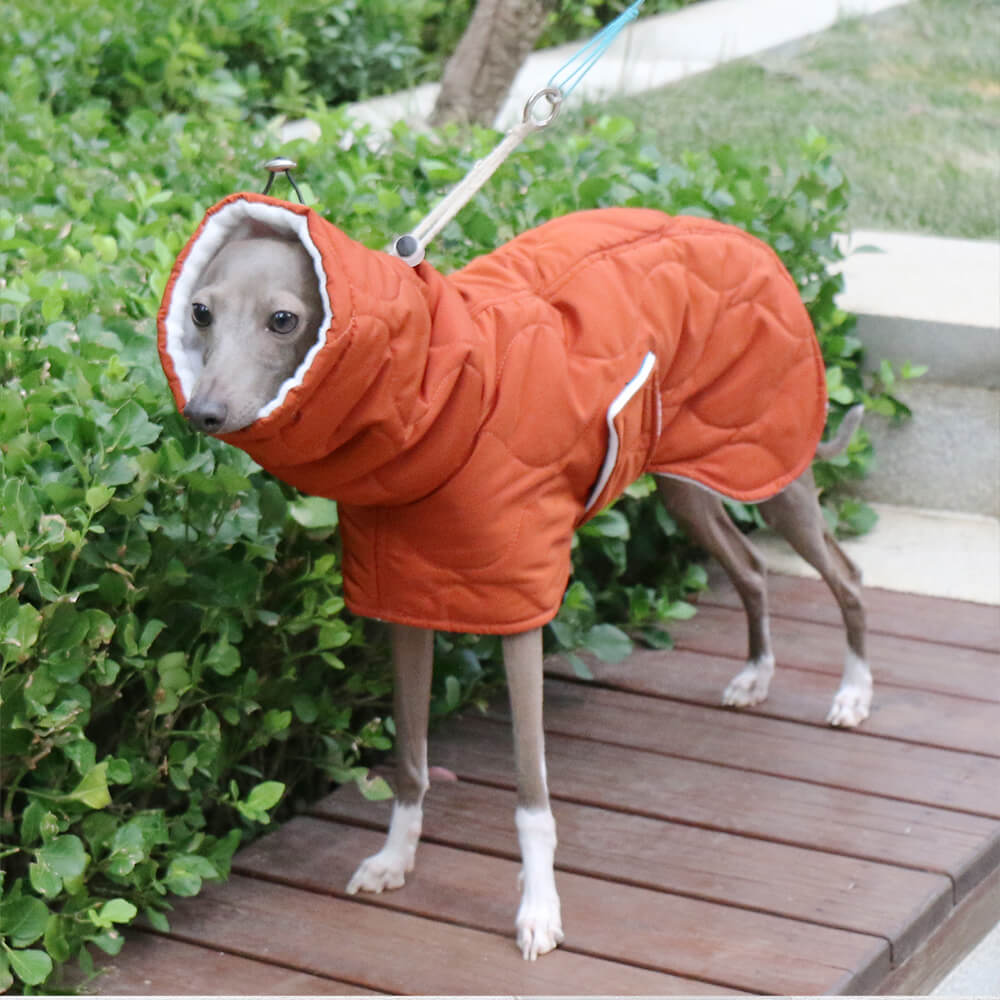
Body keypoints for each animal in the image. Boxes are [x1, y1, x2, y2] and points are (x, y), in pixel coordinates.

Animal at [160, 191, 872, 956]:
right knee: (753, 569)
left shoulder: (519, 613)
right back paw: (758, 673)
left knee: (847, 577)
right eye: (199, 312)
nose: (202, 413)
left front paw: (539, 909)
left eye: (283, 319)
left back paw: (854, 693)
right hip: (692, 480)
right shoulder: (405, 605)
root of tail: (743, 236)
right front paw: (395, 859)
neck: (439, 398)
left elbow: (532, 796)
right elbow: (410, 760)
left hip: (772, 465)